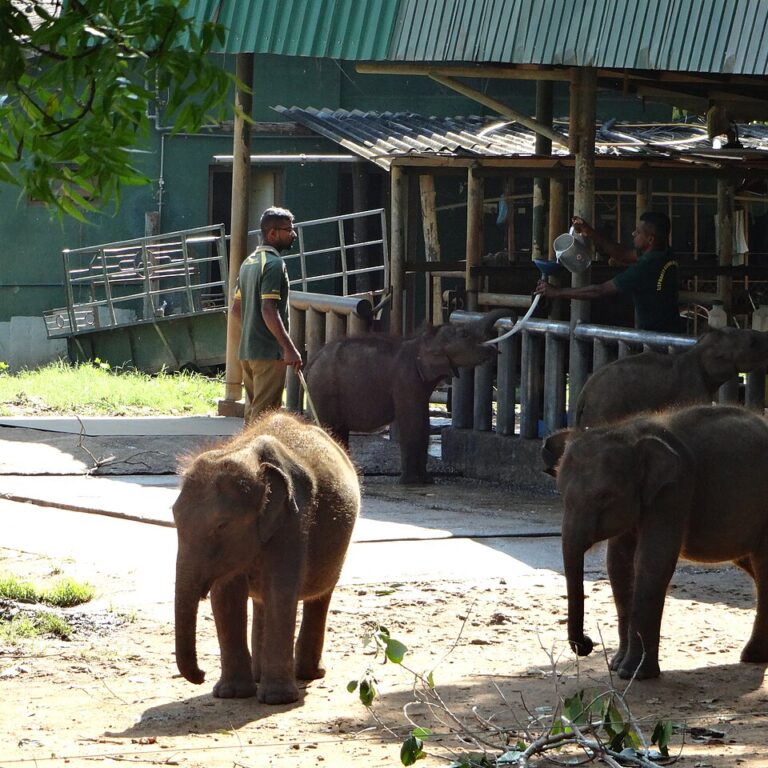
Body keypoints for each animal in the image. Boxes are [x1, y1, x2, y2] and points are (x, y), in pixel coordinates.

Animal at [173, 411, 360, 704]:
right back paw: (258, 675)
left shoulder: (293, 521)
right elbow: (225, 596)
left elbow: (280, 591)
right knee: (261, 600)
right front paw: (231, 694)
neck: (245, 454)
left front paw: (277, 699)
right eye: (174, 518)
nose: (201, 674)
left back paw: (309, 674)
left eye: (222, 525)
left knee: (320, 595)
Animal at [304, 309, 511, 484]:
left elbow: (424, 423)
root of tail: (310, 361)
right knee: (331, 428)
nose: (496, 349)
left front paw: (427, 481)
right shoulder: (406, 380)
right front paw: (413, 482)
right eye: (465, 334)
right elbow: (413, 421)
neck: (423, 341)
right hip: (324, 390)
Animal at [542, 404, 768, 680]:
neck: (628, 432)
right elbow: (618, 564)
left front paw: (635, 674)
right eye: (561, 493)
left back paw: (753, 656)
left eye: (605, 496)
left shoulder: (674, 490)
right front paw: (617, 666)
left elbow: (653, 560)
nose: (587, 643)